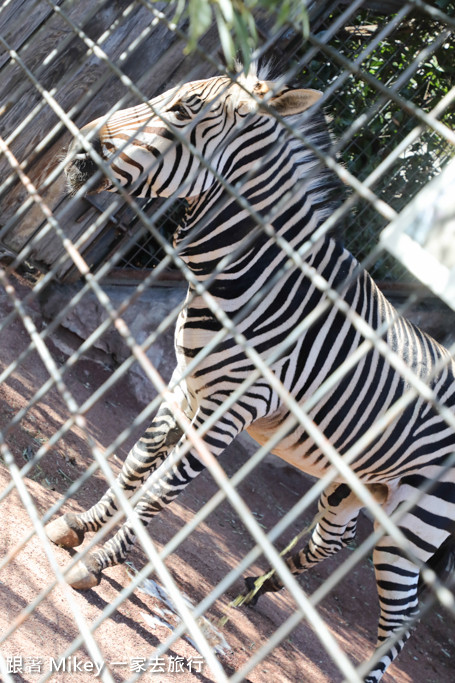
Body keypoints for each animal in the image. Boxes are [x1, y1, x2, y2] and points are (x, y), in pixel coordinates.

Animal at [45, 65, 455, 683]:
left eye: (185, 109)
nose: (74, 154)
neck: (253, 273)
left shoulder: (231, 409)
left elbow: (159, 493)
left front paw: (97, 563)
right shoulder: (183, 385)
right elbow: (135, 467)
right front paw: (80, 524)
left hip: (422, 518)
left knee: (402, 615)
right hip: (354, 486)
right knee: (336, 540)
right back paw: (251, 590)